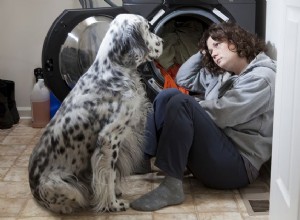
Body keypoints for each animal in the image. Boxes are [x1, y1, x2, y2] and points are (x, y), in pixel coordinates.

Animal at [28, 13, 163, 213]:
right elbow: (108, 175)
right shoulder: (109, 138)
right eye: (148, 28)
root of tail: (33, 190)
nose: (162, 41)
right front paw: (113, 204)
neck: (114, 69)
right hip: (58, 185)